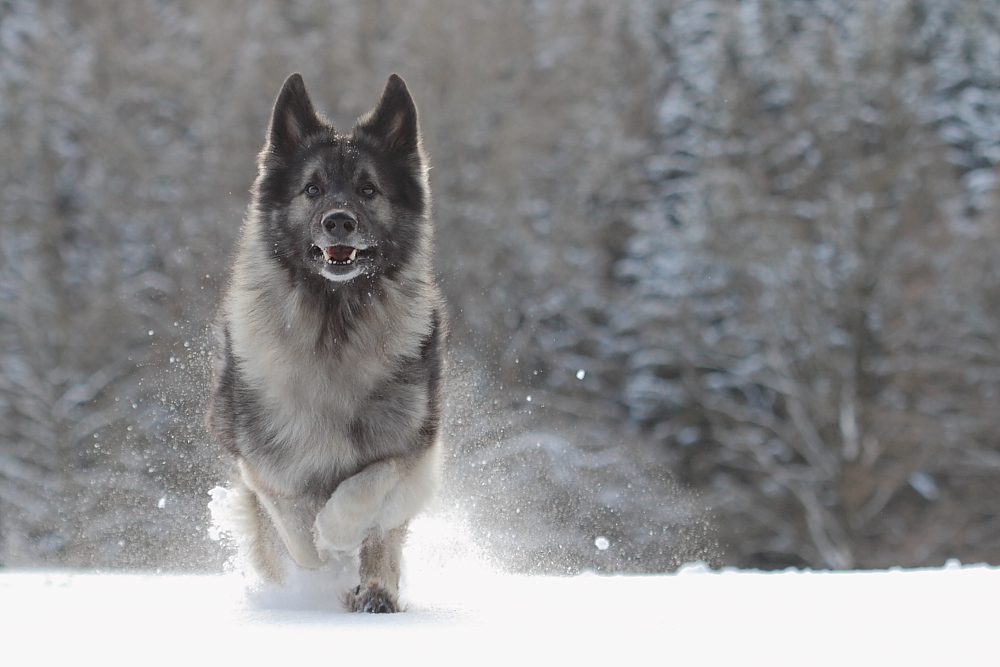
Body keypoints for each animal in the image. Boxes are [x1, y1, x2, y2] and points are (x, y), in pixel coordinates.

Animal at [207, 73, 446, 616]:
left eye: (368, 189)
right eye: (311, 189)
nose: (339, 220)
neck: (333, 325)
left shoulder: (414, 448)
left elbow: (369, 485)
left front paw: (336, 532)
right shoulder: (260, 461)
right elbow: (291, 521)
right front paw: (318, 552)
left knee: (383, 543)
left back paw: (376, 593)